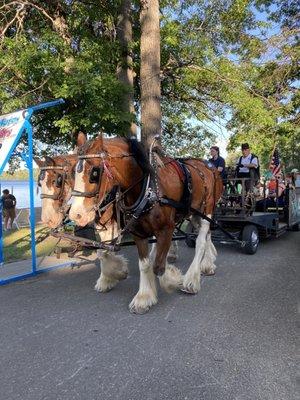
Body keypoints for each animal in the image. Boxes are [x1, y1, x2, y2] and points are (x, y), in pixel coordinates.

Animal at [69, 133, 221, 314]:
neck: (148, 187)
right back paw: (208, 263)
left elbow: (158, 266)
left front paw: (173, 278)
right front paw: (142, 295)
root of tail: (208, 167)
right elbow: (142, 263)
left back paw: (192, 279)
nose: (75, 214)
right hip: (194, 214)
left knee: (201, 241)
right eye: (73, 173)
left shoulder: (166, 229)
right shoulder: (136, 231)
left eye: (94, 172)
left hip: (206, 210)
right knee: (207, 235)